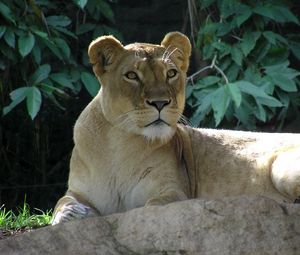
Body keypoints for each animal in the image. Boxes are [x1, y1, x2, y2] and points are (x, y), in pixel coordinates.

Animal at [51, 31, 300, 225]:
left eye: (171, 73)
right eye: (131, 75)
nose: (160, 103)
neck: (119, 144)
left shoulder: (174, 192)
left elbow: (150, 208)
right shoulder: (78, 190)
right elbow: (61, 201)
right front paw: (70, 214)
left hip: (281, 169)